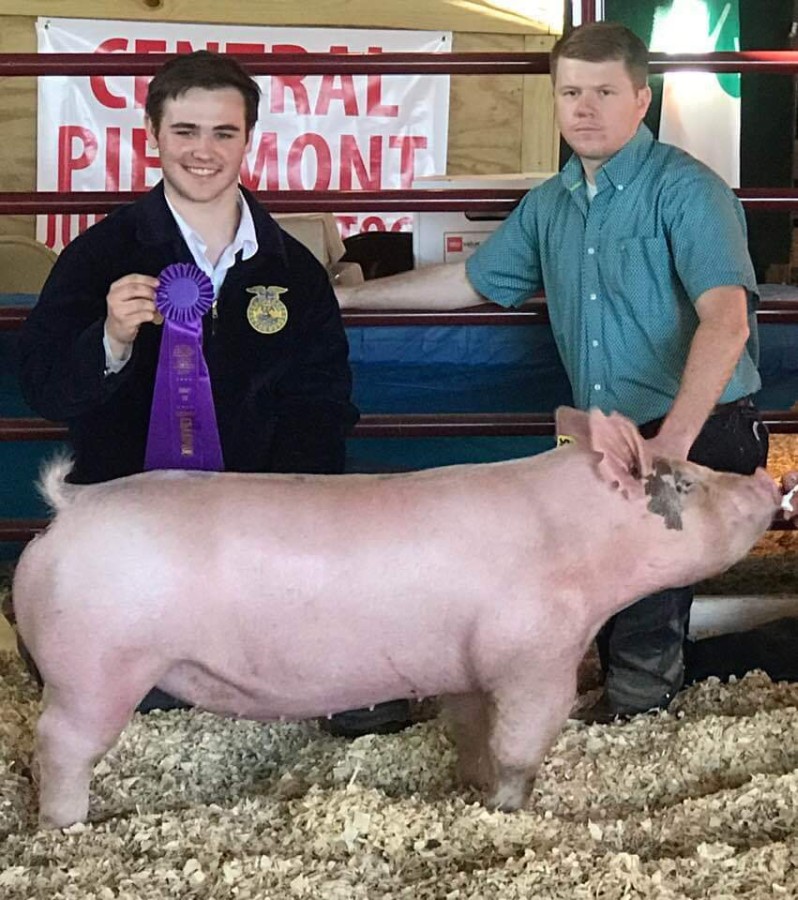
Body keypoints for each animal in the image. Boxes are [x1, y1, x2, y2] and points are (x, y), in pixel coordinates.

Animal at [12, 408, 784, 828]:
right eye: (688, 482)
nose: (767, 480)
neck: (580, 541)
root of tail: (72, 506)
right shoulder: (537, 656)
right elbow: (522, 743)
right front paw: (512, 808)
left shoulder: (468, 667)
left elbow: (471, 732)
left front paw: (471, 792)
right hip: (95, 669)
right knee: (60, 743)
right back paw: (68, 826)